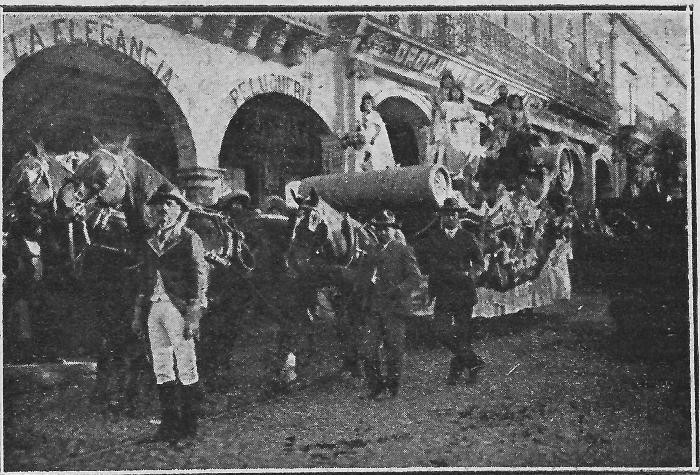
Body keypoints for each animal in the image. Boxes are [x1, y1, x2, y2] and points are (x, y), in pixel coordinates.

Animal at [288, 188, 380, 378]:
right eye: (294, 217)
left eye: (313, 217)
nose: (293, 259)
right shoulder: (335, 296)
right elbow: (341, 328)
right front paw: (349, 362)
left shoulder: (356, 297)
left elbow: (354, 326)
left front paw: (358, 364)